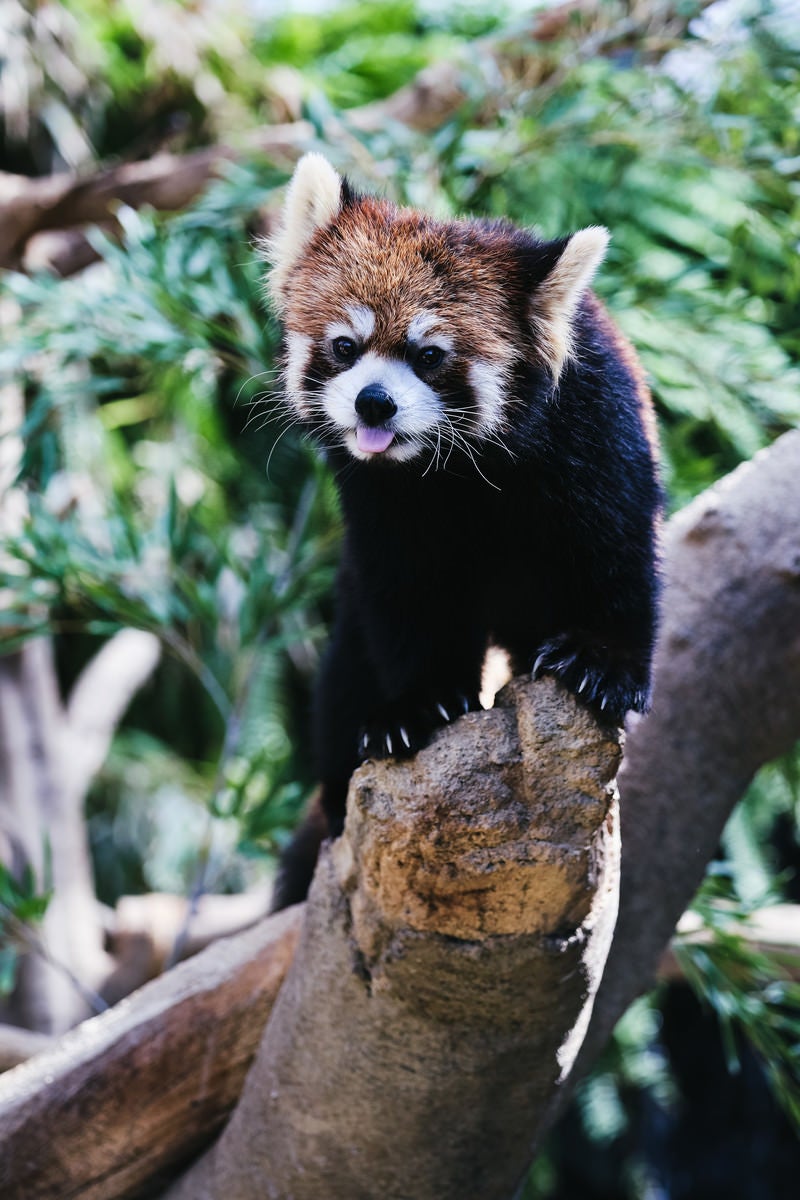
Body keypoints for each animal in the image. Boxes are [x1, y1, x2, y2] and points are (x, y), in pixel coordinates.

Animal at [266, 152, 662, 907]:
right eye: (345, 346)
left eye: (428, 354)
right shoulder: (383, 506)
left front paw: (602, 664)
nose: (374, 402)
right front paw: (418, 707)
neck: (459, 469)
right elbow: (407, 595)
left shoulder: (597, 430)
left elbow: (615, 554)